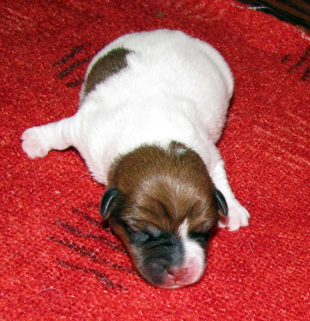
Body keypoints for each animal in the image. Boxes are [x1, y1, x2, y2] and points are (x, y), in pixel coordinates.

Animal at [21, 28, 249, 288]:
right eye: (139, 230)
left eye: (204, 230)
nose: (180, 272)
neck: (156, 138)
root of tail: (171, 32)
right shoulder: (85, 128)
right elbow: (60, 132)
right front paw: (36, 140)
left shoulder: (209, 152)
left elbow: (219, 174)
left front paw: (233, 209)